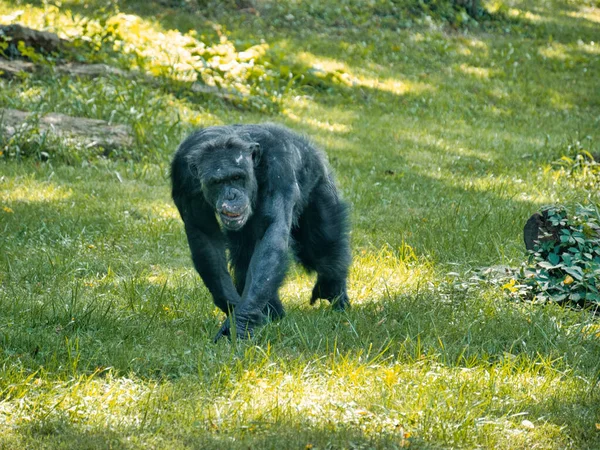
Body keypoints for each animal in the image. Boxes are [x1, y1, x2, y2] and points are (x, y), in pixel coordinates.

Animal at [170, 123, 352, 342]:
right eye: (217, 182)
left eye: (237, 177)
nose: (231, 196)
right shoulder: (183, 177)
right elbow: (205, 236)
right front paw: (234, 309)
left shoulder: (279, 170)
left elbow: (271, 232)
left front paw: (240, 322)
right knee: (245, 255)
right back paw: (273, 313)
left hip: (320, 183)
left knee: (322, 245)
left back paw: (334, 291)